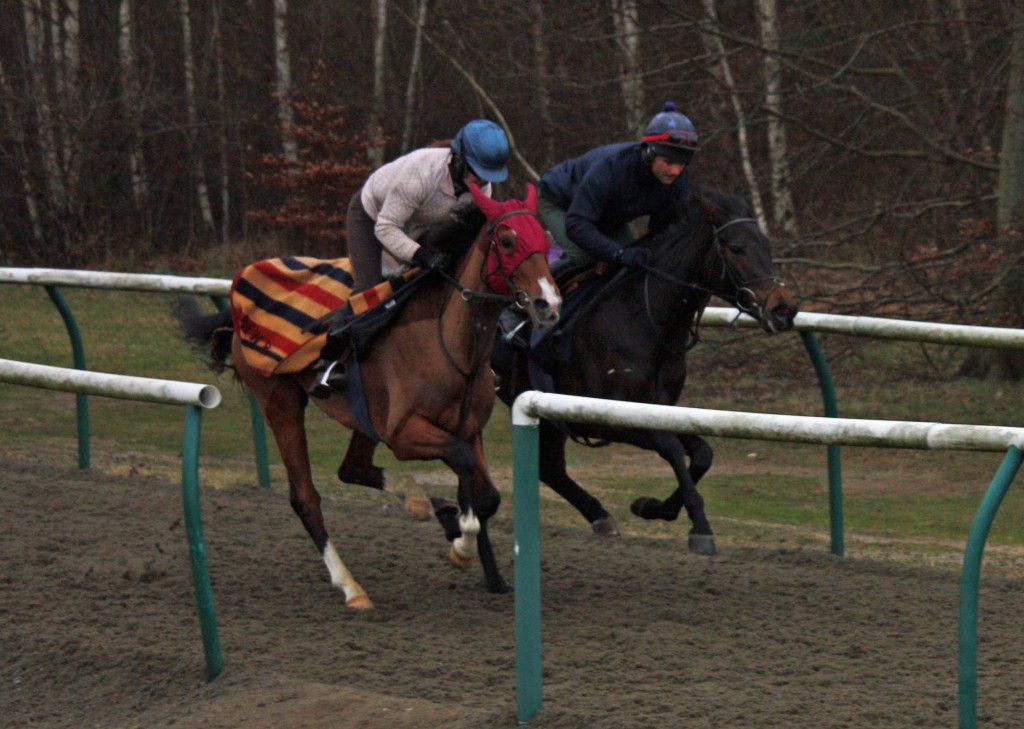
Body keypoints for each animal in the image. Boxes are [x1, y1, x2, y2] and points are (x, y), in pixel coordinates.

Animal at [176, 185, 561, 606]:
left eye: (545, 239)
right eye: (507, 241)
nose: (549, 304)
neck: (450, 344)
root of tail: (235, 303)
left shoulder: (468, 428)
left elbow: (486, 493)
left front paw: (476, 552)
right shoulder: (405, 434)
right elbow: (463, 466)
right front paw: (461, 544)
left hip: (365, 416)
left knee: (352, 469)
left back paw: (419, 502)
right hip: (280, 401)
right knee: (305, 497)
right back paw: (351, 587)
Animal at [495, 190, 798, 556]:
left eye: (767, 246)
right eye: (737, 248)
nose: (784, 309)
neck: (646, 319)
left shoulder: (658, 408)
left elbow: (702, 453)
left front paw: (652, 507)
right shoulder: (604, 419)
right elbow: (671, 448)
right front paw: (700, 525)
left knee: (551, 469)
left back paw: (599, 515)